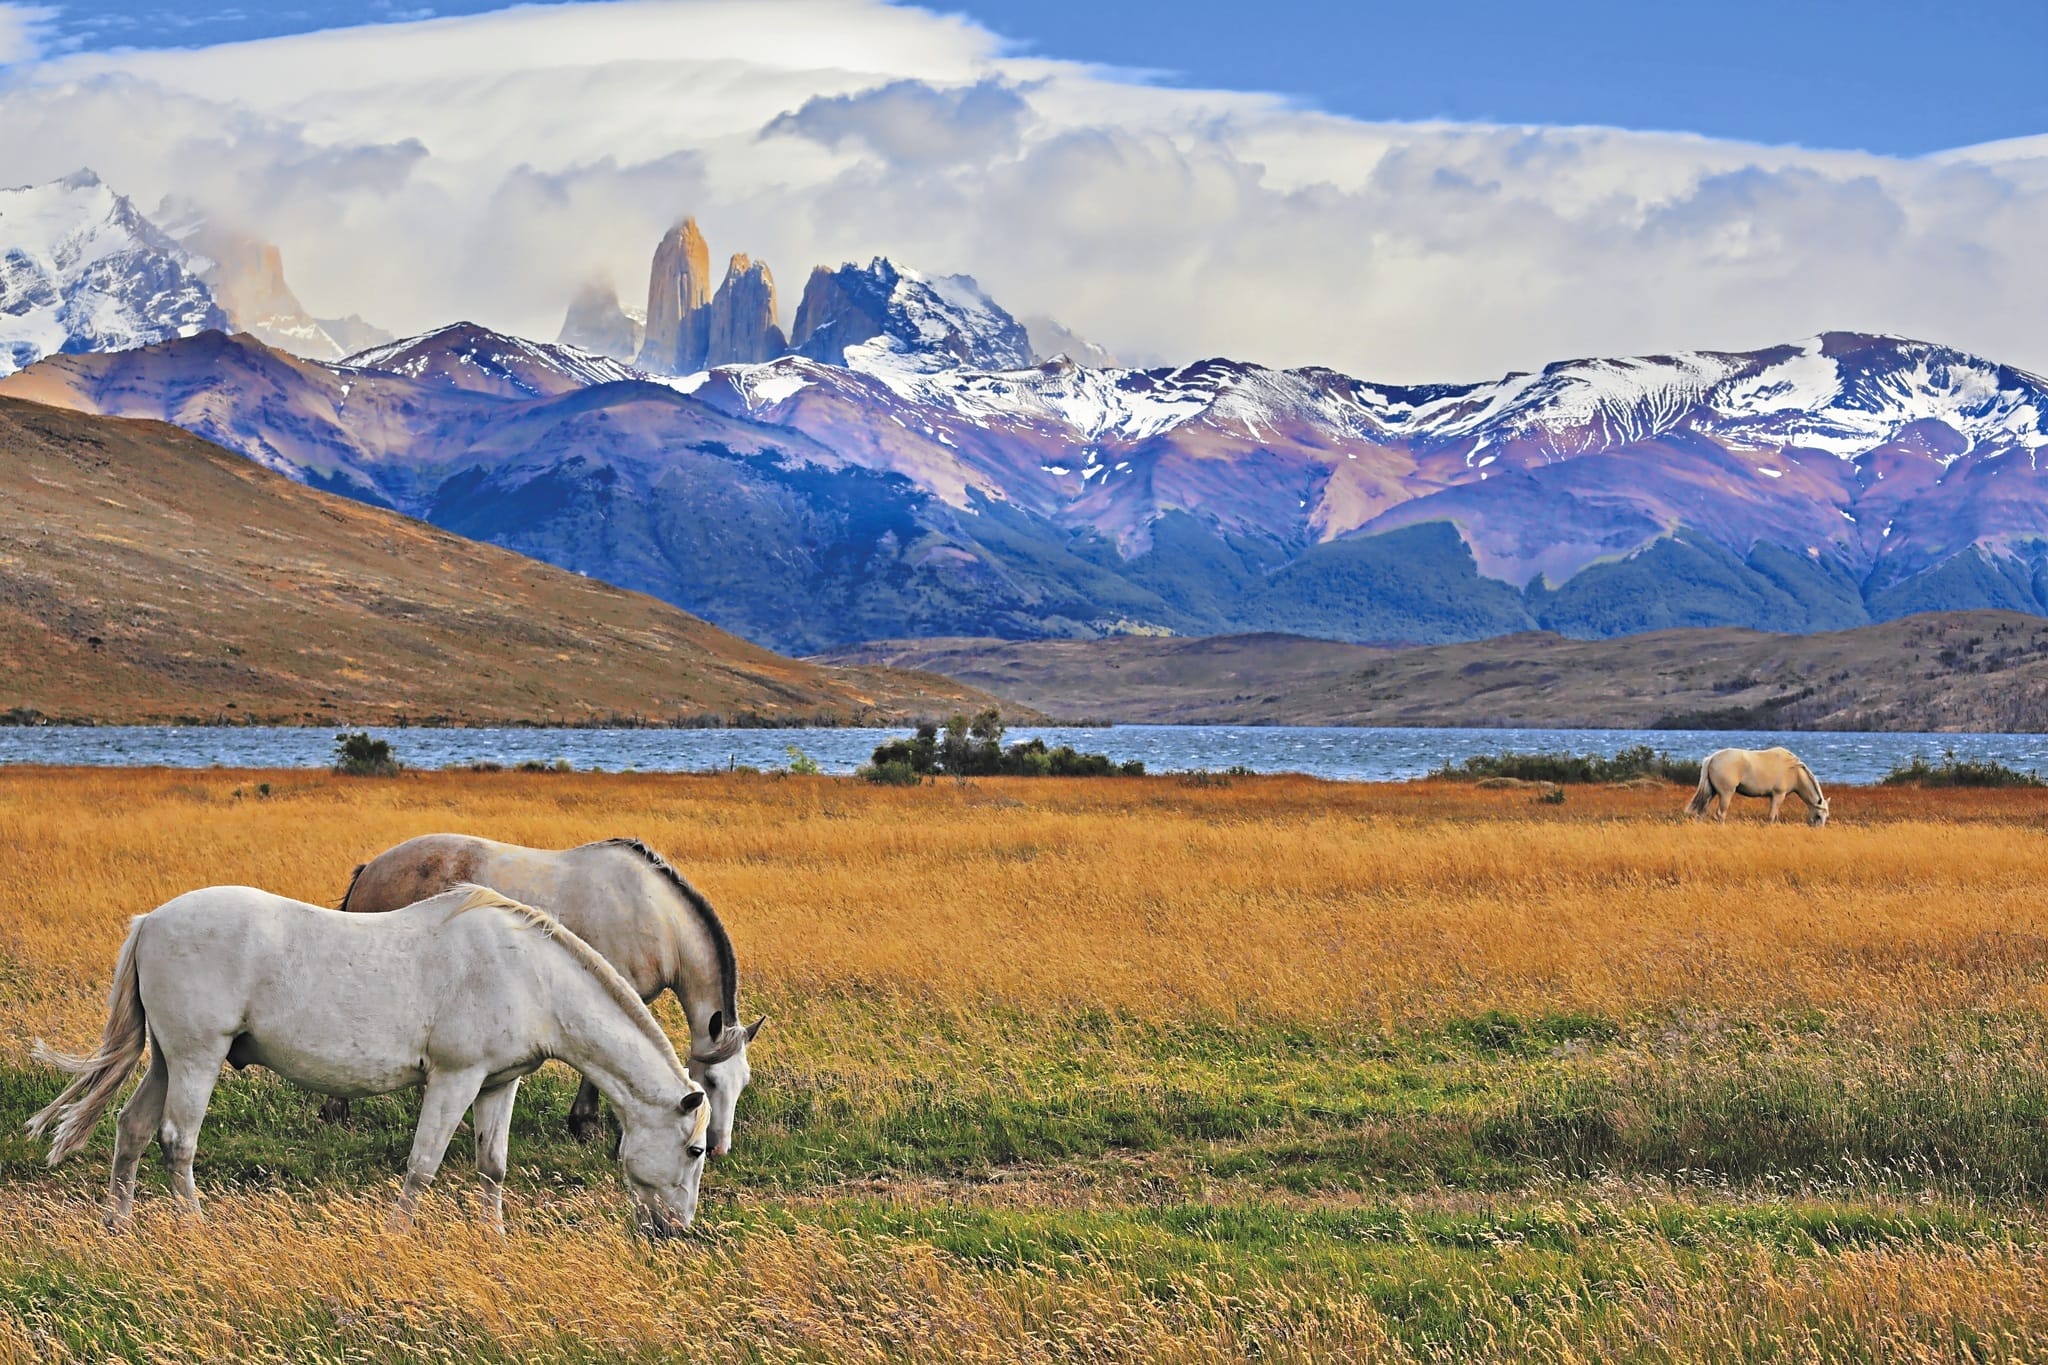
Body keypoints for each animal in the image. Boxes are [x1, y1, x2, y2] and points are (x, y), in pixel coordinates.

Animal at [27, 885, 711, 1236]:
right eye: (696, 1148)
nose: (676, 1231)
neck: (530, 975)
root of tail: (151, 921)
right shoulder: (454, 1080)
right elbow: (423, 1165)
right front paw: (397, 1238)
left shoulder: (497, 1086)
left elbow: (492, 1166)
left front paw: (493, 1239)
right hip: (197, 1058)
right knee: (177, 1139)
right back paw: (196, 1229)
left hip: (168, 1059)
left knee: (134, 1129)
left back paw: (119, 1227)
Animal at [334, 835, 762, 1154]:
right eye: (710, 1082)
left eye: (743, 1083)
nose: (717, 1147)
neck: (654, 914)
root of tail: (371, 868)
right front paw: (585, 1124)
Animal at [1686, 747, 1831, 826]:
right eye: (1818, 816)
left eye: (1826, 816)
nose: (1818, 831)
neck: (1793, 770)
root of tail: (1712, 758)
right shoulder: (1779, 795)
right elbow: (1771, 817)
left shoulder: (1773, 797)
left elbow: (1774, 817)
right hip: (1726, 794)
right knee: (1720, 815)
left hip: (1711, 792)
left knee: (1701, 813)